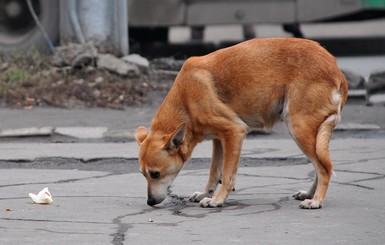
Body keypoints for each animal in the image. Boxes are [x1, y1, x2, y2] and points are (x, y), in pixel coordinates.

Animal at [135, 37, 348, 209]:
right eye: (143, 174)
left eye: (155, 174)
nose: (150, 202)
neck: (186, 101)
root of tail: (335, 69)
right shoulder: (219, 140)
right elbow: (214, 172)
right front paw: (206, 194)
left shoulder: (234, 132)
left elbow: (228, 174)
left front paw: (217, 200)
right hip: (311, 135)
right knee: (321, 167)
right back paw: (310, 194)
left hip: (299, 130)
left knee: (324, 169)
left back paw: (316, 201)